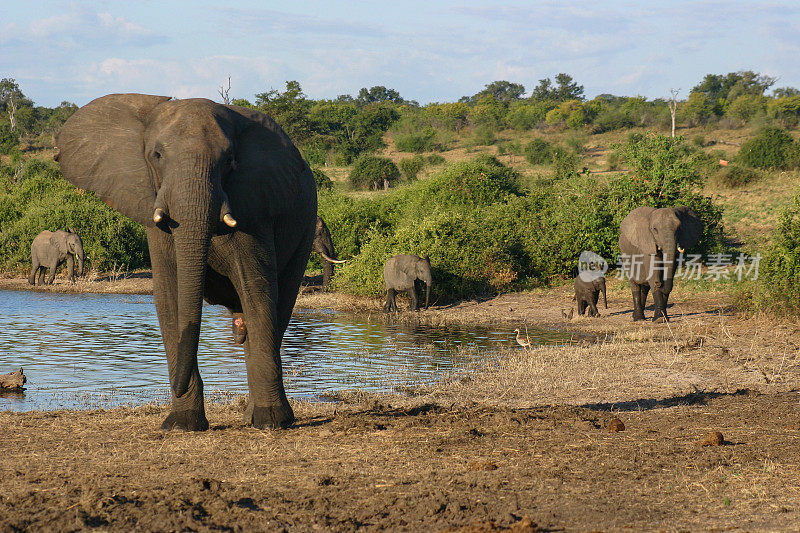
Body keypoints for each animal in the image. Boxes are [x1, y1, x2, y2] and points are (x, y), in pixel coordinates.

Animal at [56, 93, 318, 430]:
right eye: (156, 155)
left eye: (230, 161)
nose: (177, 387)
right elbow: (172, 297)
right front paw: (182, 423)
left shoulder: (253, 208)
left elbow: (257, 291)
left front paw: (272, 423)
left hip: (306, 227)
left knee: (280, 304)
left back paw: (259, 417)